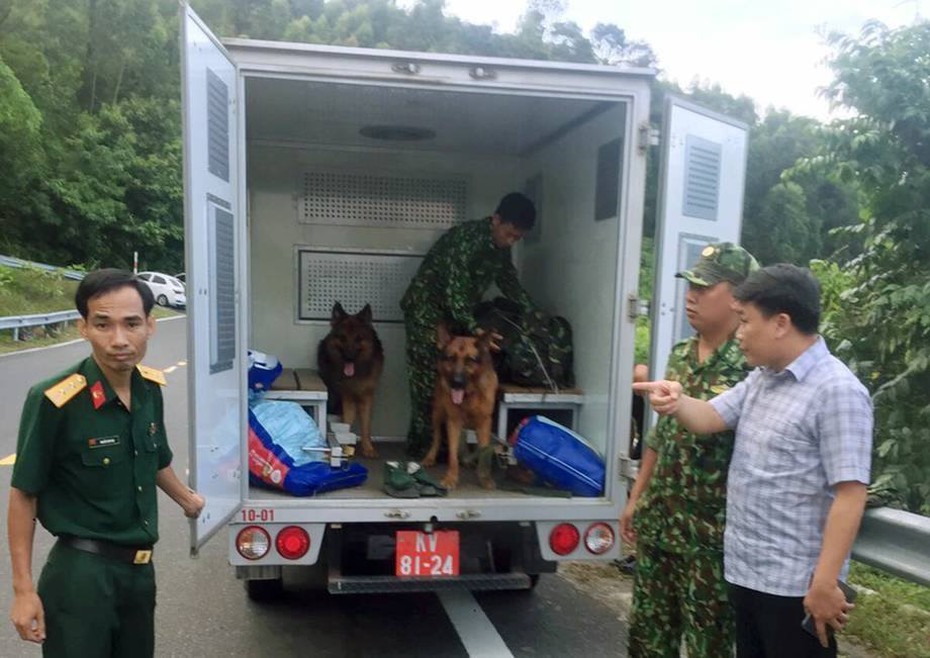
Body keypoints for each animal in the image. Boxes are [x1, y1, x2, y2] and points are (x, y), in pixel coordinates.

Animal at [316, 302, 380, 456]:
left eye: (358, 338)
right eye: (343, 338)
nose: (349, 357)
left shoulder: (367, 397)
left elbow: (366, 425)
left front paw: (368, 448)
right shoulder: (347, 398)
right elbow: (346, 423)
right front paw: (344, 447)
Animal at [422, 324, 500, 486]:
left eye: (469, 360)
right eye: (451, 358)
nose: (456, 382)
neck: (469, 394)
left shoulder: (484, 423)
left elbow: (484, 451)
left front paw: (485, 478)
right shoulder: (453, 421)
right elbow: (452, 455)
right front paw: (450, 478)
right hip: (437, 414)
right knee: (437, 438)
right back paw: (430, 457)